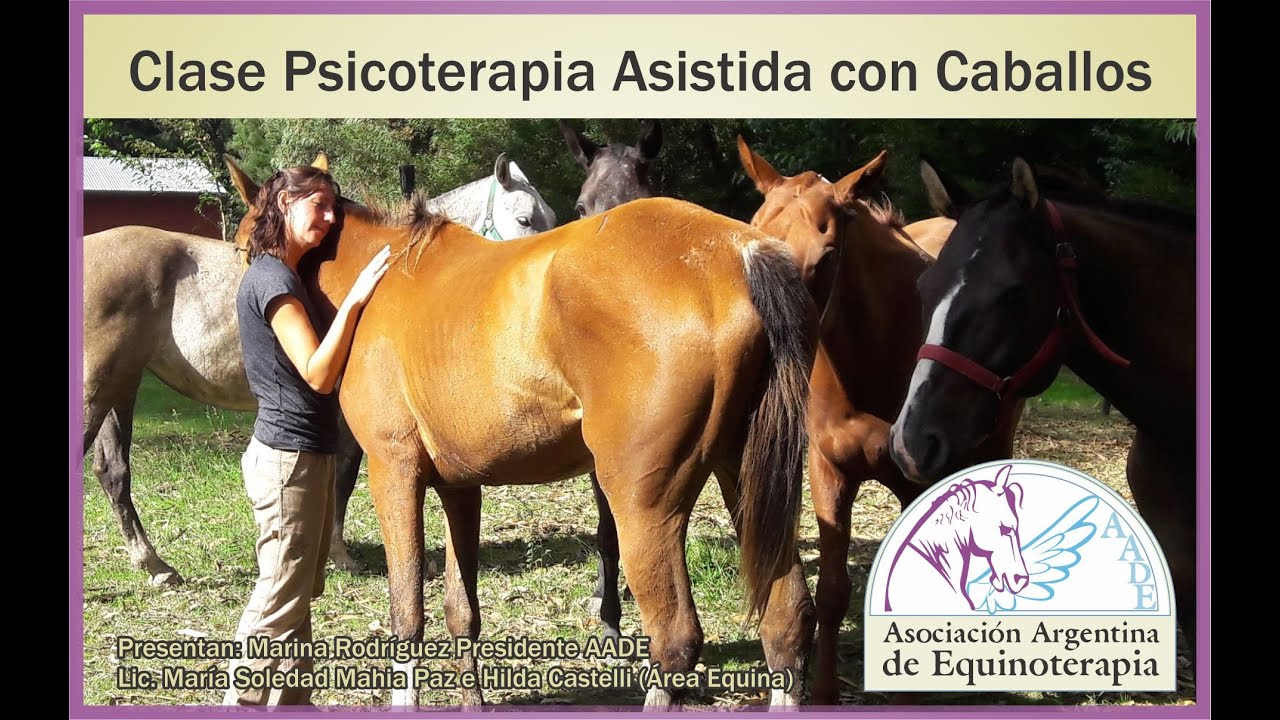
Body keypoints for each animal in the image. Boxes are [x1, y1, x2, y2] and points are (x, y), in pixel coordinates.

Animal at [81, 153, 555, 585]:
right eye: (525, 218)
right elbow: (344, 475)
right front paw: (342, 554)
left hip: (122, 385)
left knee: (112, 471)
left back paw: (154, 564)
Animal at [229, 167, 819, 708]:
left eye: (242, 245)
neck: (383, 281)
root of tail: (738, 253)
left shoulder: (393, 472)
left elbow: (407, 612)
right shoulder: (459, 486)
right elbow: (460, 612)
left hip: (644, 504)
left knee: (676, 640)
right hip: (745, 481)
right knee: (787, 618)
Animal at [735, 138, 1022, 704]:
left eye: (826, 255)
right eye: (755, 234)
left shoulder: (918, 483)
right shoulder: (829, 473)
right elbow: (831, 593)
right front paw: (824, 693)